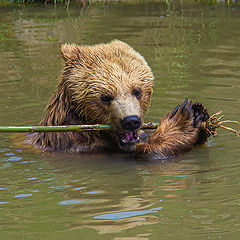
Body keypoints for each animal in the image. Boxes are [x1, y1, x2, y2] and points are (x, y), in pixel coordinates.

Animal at [26, 40, 210, 158]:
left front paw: (200, 114)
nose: (131, 121)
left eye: (137, 91)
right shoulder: (79, 145)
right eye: (106, 97)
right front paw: (181, 120)